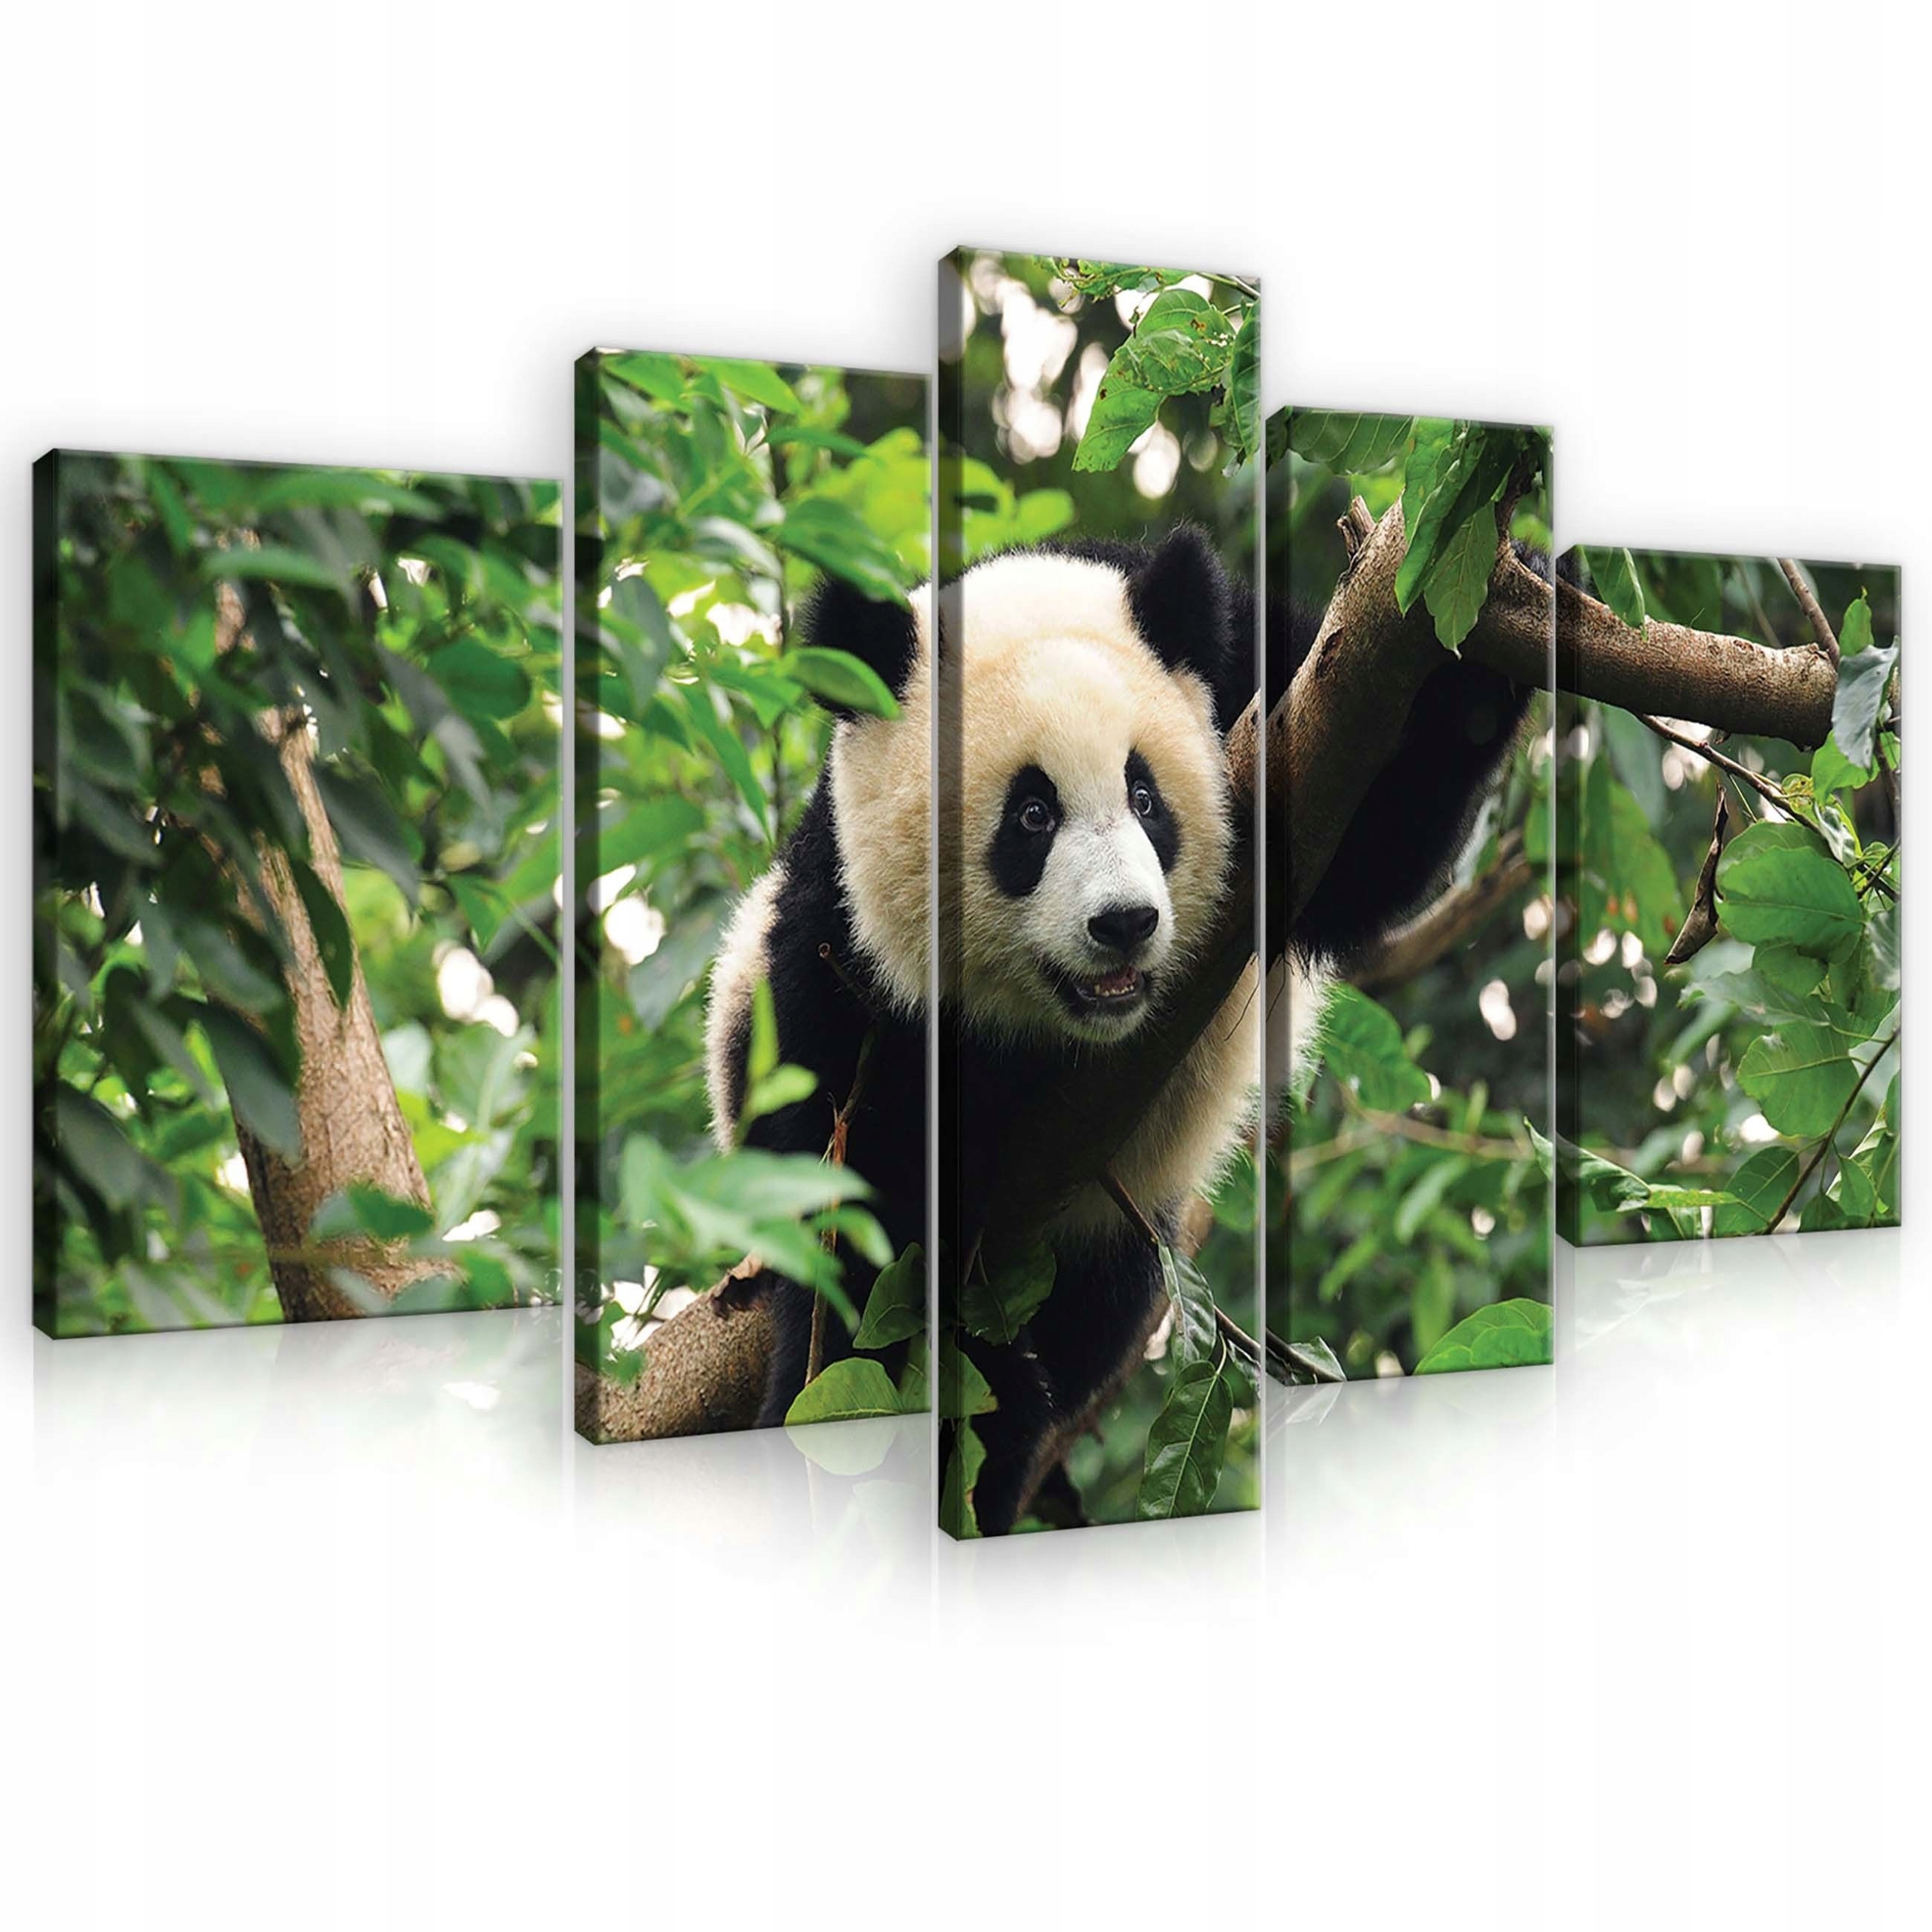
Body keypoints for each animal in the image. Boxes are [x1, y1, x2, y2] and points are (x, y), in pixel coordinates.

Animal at [706, 525, 1530, 1533]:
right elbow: (860, 1207)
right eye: (1030, 815)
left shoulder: (1261, 680)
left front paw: (1503, 611)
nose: (1124, 923)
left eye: (1146, 797)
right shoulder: (839, 948)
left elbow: (1370, 840)